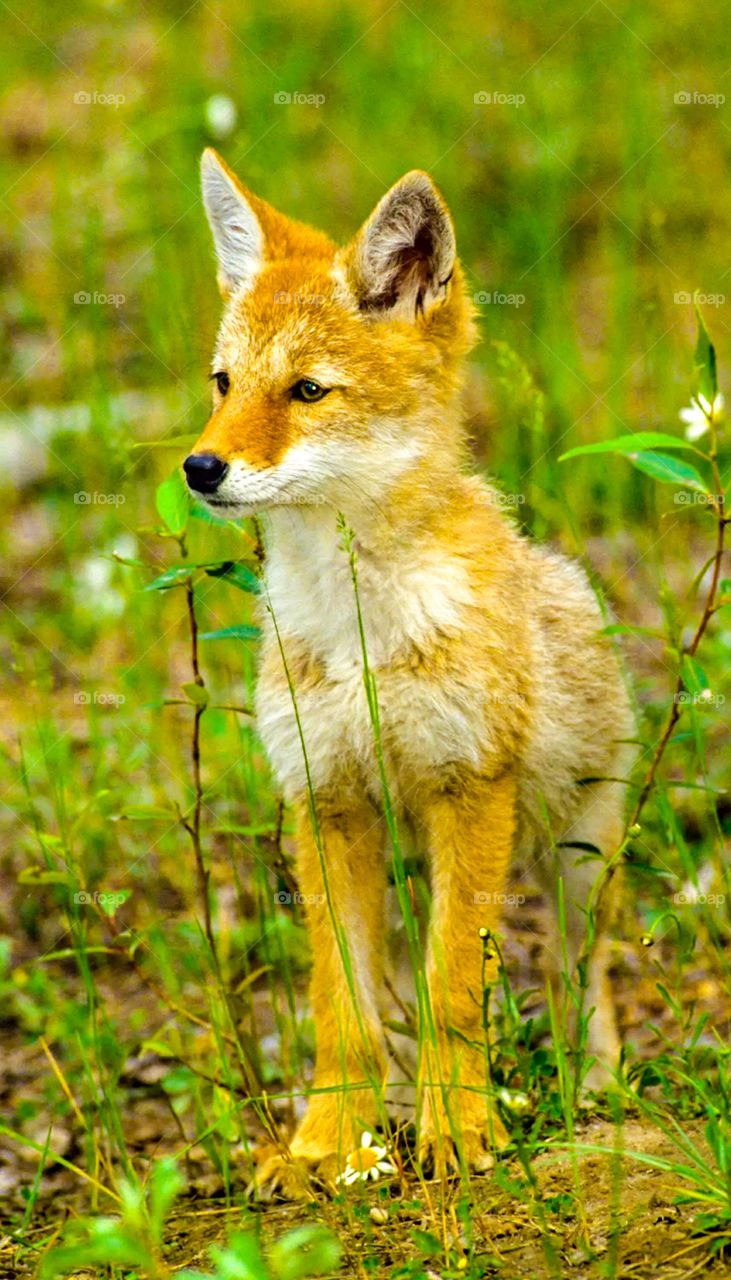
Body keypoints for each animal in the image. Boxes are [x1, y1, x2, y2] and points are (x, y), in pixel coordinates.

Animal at [183, 148, 635, 1196]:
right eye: (224, 383)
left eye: (306, 391)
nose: (199, 467)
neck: (357, 635)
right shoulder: (323, 803)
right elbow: (338, 1008)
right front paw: (326, 1143)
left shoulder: (468, 790)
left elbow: (455, 994)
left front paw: (459, 1130)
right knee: (390, 1001)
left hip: (575, 861)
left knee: (578, 978)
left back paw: (590, 1088)